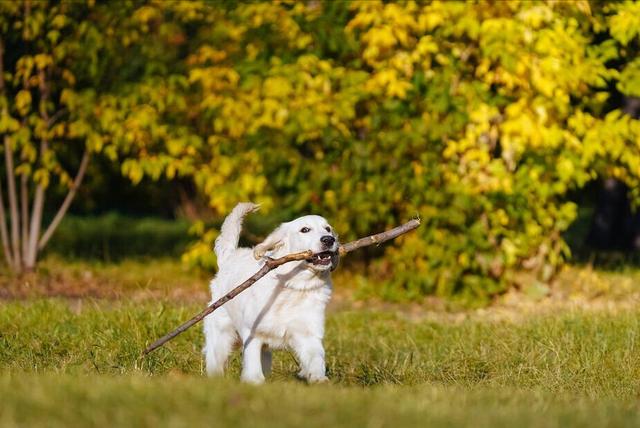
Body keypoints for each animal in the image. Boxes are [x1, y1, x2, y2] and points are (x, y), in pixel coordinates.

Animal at [204, 202, 340, 382]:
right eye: (305, 229)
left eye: (328, 229)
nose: (329, 239)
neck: (293, 285)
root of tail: (230, 256)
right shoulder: (252, 333)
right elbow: (253, 365)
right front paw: (254, 381)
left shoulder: (309, 334)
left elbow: (316, 358)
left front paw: (319, 379)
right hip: (221, 334)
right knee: (215, 361)